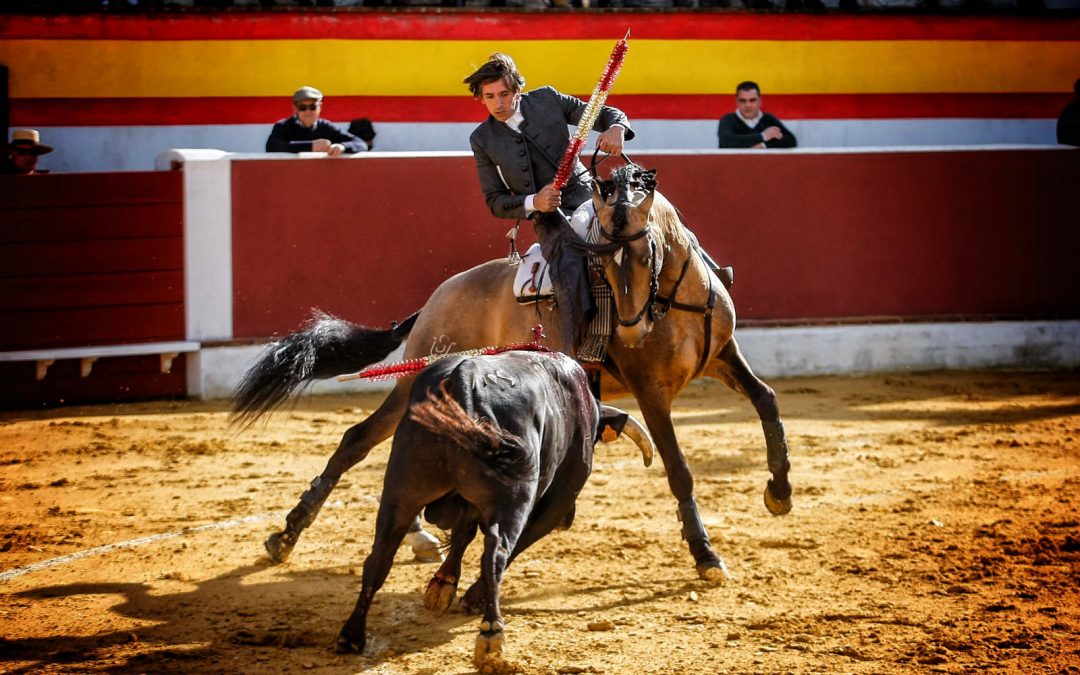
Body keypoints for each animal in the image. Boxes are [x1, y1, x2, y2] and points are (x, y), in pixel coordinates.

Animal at [234, 162, 794, 578]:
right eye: (603, 261)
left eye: (646, 249)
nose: (632, 331)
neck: (673, 301)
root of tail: (436, 298)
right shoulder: (650, 390)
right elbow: (679, 470)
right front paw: (705, 554)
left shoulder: (724, 356)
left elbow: (766, 400)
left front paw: (780, 491)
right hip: (417, 376)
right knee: (357, 439)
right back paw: (286, 536)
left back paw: (414, 535)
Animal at [332, 349, 652, 665]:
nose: (569, 520)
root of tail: (464, 379)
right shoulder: (554, 505)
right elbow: (512, 545)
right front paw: (471, 597)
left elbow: (463, 535)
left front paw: (442, 585)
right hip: (514, 499)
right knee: (496, 553)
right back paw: (491, 632)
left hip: (401, 490)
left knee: (380, 557)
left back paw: (351, 635)